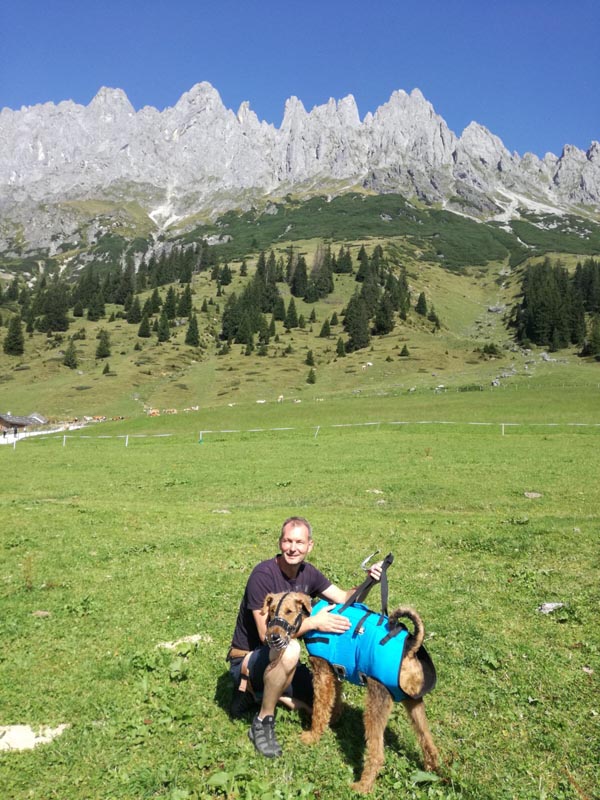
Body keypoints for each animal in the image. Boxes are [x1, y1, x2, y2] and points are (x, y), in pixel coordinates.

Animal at [260, 588, 438, 792]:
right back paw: (433, 770)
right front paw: (333, 720)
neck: (313, 614)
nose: (273, 637)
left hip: (376, 704)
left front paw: (313, 735)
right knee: (427, 740)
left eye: (289, 611)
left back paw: (362, 786)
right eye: (271, 609)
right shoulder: (334, 673)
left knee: (377, 754)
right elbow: (334, 701)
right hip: (413, 701)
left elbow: (320, 708)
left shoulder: (322, 673)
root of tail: (411, 646)